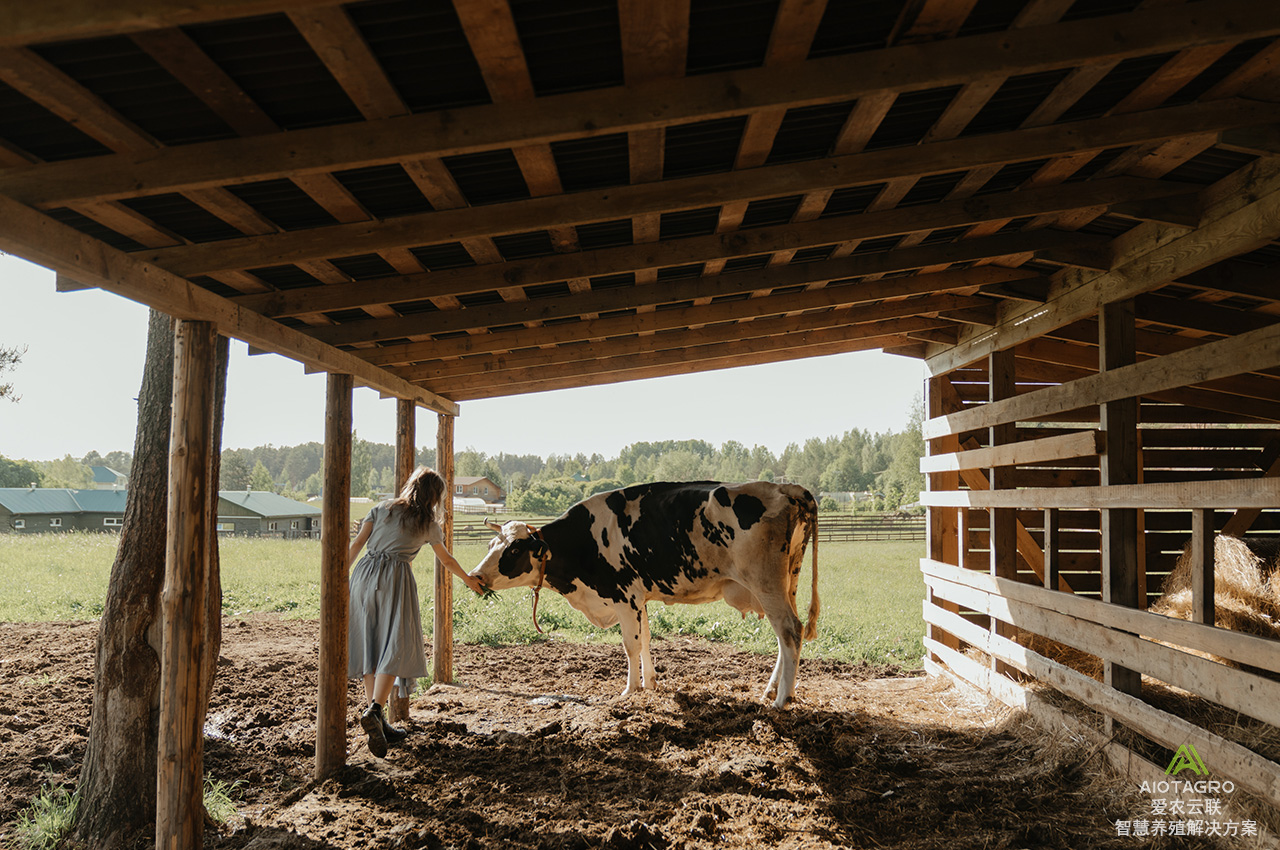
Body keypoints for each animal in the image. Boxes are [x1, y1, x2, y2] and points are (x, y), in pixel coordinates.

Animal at [471, 481, 819, 706]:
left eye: (514, 549)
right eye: (490, 544)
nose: (475, 575)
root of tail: (786, 488)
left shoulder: (624, 598)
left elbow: (631, 644)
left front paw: (630, 689)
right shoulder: (639, 599)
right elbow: (647, 638)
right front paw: (650, 682)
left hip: (766, 584)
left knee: (790, 631)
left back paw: (781, 700)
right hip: (788, 583)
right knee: (788, 636)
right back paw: (773, 691)